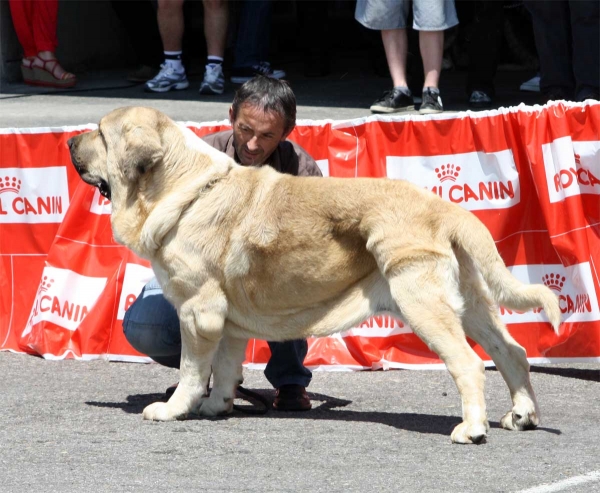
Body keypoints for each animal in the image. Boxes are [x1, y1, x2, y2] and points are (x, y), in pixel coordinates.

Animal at [69, 105, 564, 444]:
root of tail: (445, 208)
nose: (71, 143)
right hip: (472, 302)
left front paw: (174, 409)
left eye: (101, 134)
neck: (180, 186)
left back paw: (472, 429)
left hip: (421, 301)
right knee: (511, 352)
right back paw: (522, 416)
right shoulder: (225, 322)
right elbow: (225, 368)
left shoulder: (197, 311)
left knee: (468, 363)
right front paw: (216, 406)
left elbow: (194, 369)